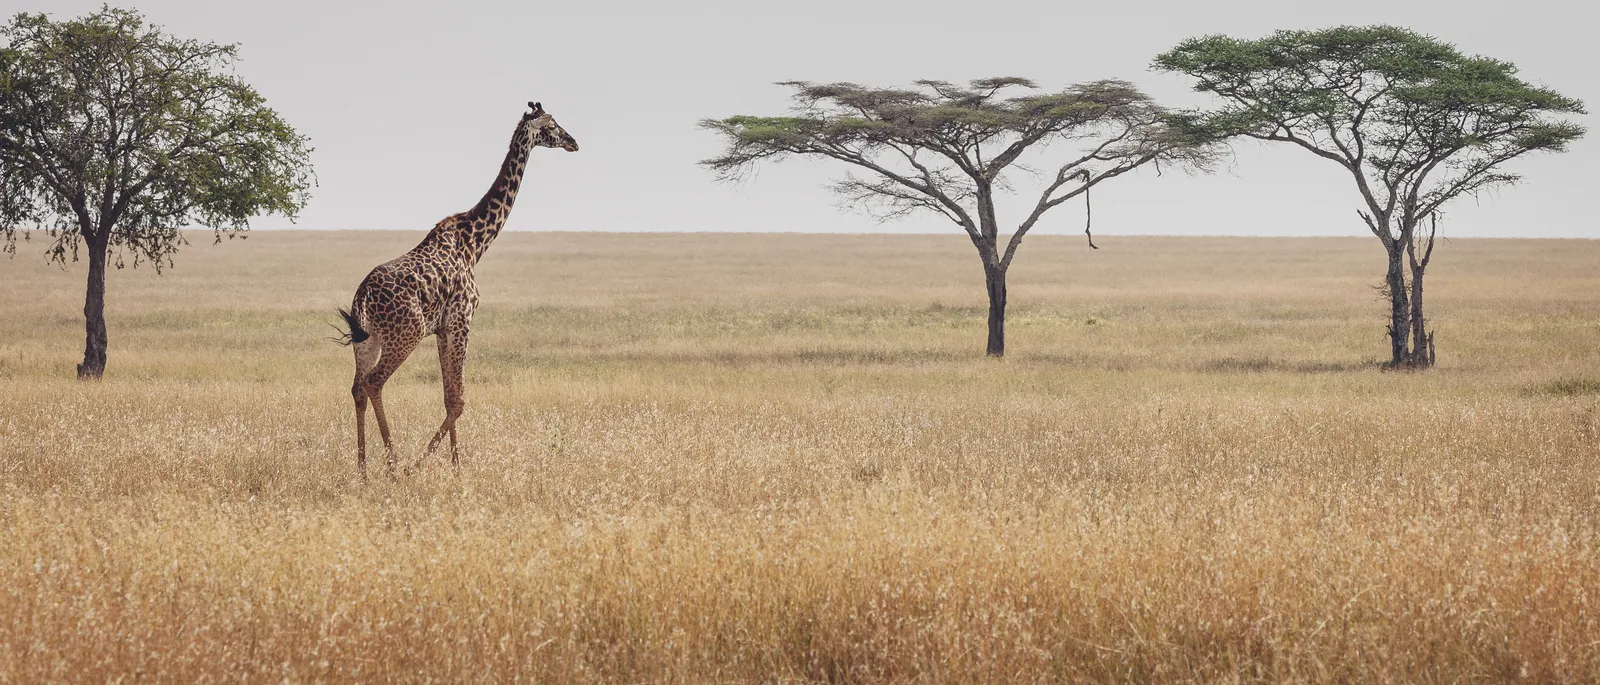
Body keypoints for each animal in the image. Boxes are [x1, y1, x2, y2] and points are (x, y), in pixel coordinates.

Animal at [336, 101, 578, 476]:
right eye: (552, 124)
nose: (573, 142)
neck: (475, 242)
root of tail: (363, 298)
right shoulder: (462, 319)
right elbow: (459, 400)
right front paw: (432, 466)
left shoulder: (442, 328)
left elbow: (449, 396)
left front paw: (455, 465)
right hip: (404, 335)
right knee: (375, 383)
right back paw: (395, 466)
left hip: (368, 340)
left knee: (358, 388)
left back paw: (362, 471)